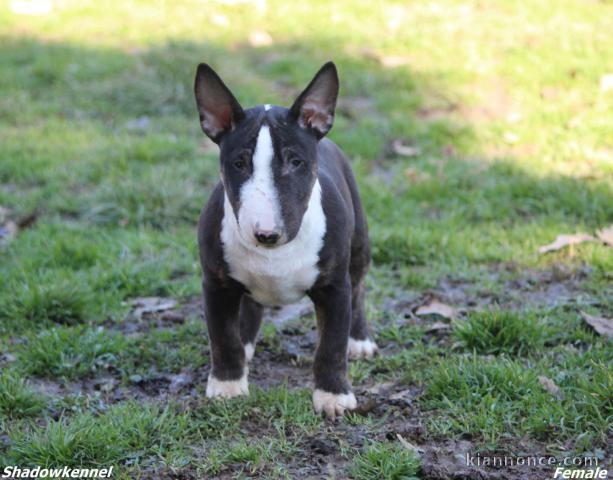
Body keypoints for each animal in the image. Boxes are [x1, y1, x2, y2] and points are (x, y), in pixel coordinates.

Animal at [195, 61, 378, 420]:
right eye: (239, 163)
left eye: (296, 162)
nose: (266, 233)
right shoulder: (216, 283)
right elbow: (222, 337)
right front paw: (227, 386)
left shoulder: (334, 287)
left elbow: (331, 345)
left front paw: (333, 395)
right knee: (250, 305)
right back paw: (246, 344)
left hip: (360, 245)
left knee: (360, 288)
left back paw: (359, 340)